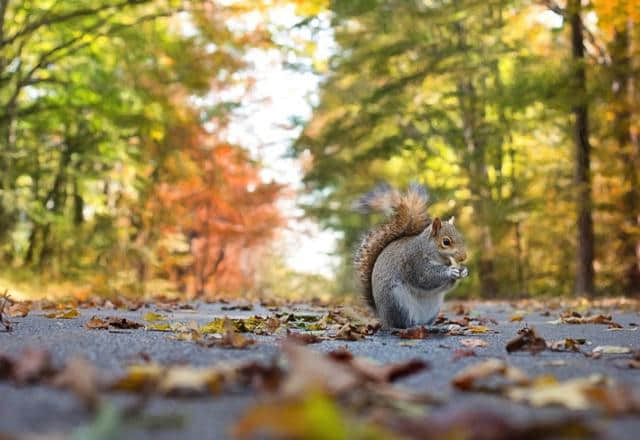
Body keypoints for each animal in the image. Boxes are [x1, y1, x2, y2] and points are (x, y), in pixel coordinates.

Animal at [352, 182, 468, 330]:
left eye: (461, 238)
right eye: (446, 242)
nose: (464, 257)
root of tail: (383, 318)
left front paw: (463, 271)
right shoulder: (413, 261)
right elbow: (425, 277)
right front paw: (450, 271)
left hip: (433, 309)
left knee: (423, 323)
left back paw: (438, 326)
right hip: (397, 303)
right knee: (404, 325)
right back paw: (423, 328)